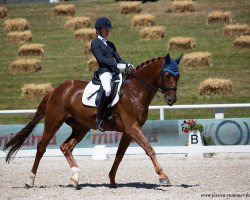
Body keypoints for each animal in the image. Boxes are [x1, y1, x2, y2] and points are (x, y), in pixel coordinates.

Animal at [3, 52, 182, 188]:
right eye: (167, 75)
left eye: (178, 76)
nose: (171, 100)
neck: (135, 91)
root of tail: (55, 90)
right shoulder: (132, 127)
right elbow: (149, 149)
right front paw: (163, 176)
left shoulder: (128, 131)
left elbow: (120, 155)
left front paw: (112, 180)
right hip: (54, 121)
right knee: (41, 147)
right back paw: (30, 181)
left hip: (81, 127)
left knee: (66, 147)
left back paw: (75, 178)